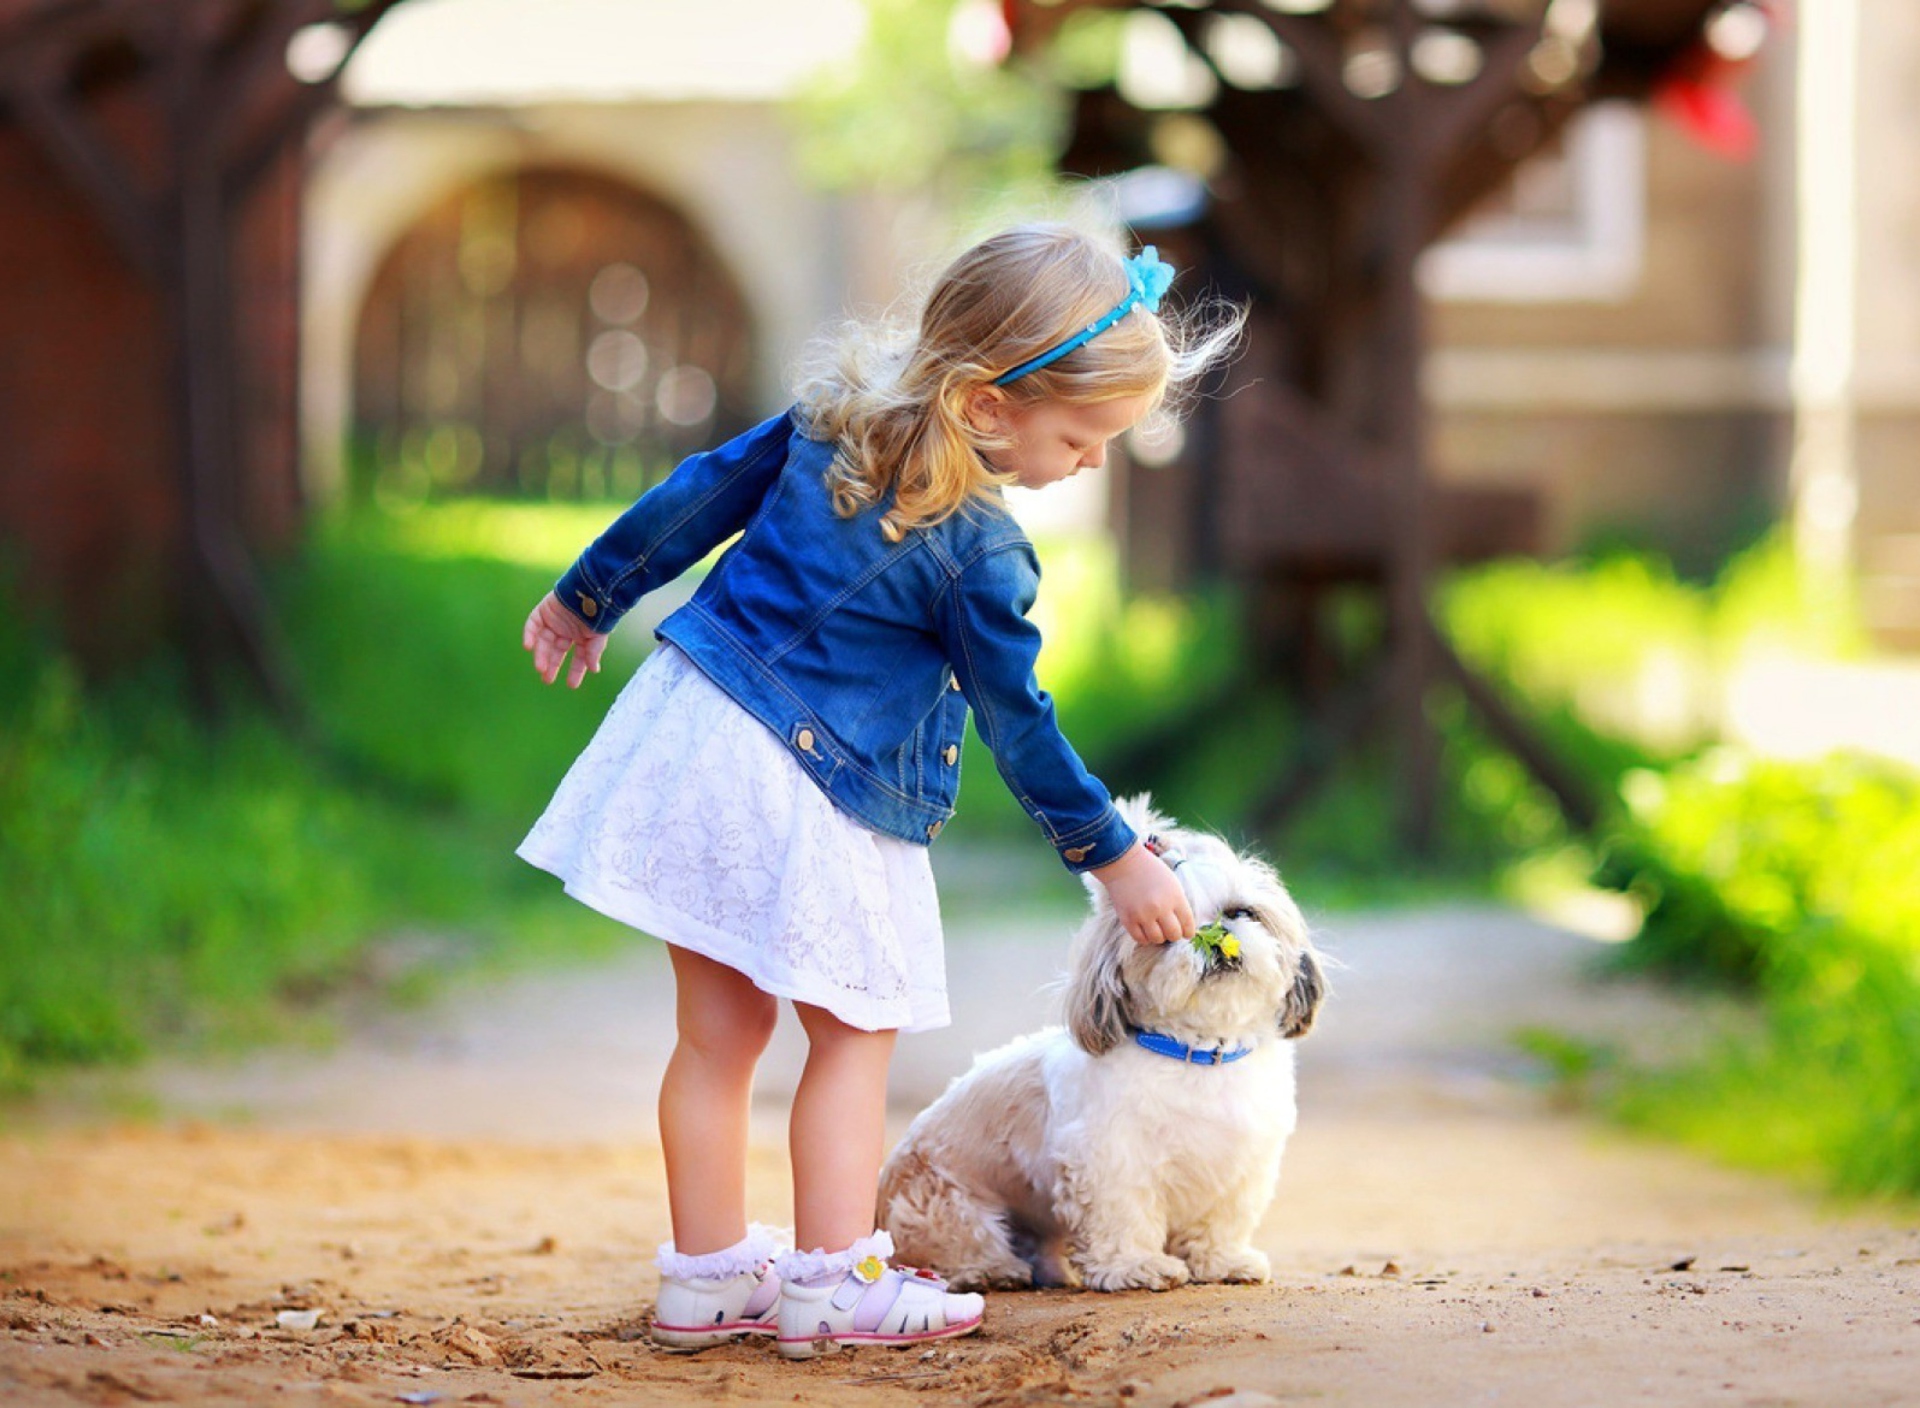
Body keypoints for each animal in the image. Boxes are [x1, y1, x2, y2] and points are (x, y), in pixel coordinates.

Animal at [879, 795, 1320, 1290]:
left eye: (1241, 913)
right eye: (1168, 932)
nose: (1215, 937)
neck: (1199, 1053)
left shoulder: (1240, 1165)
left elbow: (1220, 1222)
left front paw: (1222, 1261)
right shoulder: (1111, 1159)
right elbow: (1123, 1217)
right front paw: (1136, 1265)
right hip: (944, 1205)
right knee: (952, 1247)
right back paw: (990, 1271)